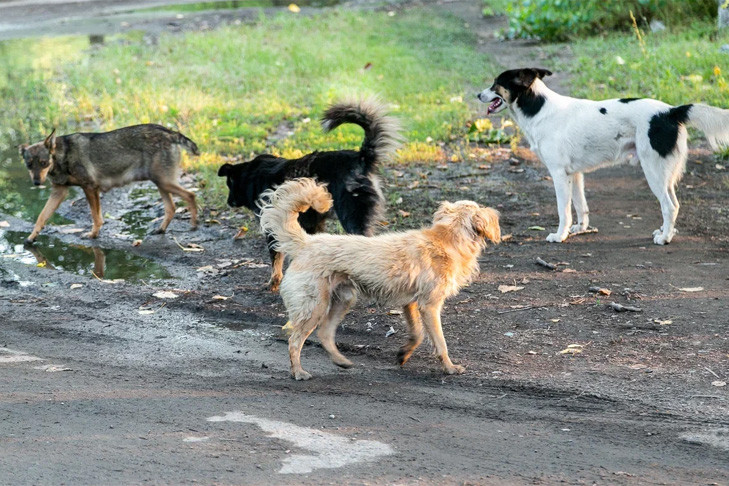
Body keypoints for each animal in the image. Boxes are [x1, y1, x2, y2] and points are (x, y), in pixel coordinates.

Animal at [19, 122, 198, 242]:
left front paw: (93, 234)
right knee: (171, 208)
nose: (36, 183)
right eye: (29, 165)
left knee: (191, 195)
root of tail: (169, 132)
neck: (62, 156)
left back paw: (194, 225)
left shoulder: (90, 188)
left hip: (163, 183)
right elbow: (41, 217)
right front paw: (31, 237)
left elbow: (96, 218)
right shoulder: (59, 192)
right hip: (161, 184)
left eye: (43, 163)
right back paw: (161, 230)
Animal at [218, 97, 398, 290]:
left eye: (229, 184)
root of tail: (361, 158)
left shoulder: (272, 227)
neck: (251, 175)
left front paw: (274, 282)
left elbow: (276, 258)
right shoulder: (313, 223)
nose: (228, 201)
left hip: (352, 217)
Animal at [258, 178, 504, 380]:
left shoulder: (410, 303)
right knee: (295, 340)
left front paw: (403, 354)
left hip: (342, 300)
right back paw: (298, 372)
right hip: (314, 306)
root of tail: (306, 242)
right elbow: (440, 341)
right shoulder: (430, 306)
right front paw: (450, 368)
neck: (448, 237)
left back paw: (341, 361)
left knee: (325, 333)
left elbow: (418, 334)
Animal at [478, 67, 728, 243]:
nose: (477, 94)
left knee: (670, 206)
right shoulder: (574, 174)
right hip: (665, 174)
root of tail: (670, 111)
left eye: (496, 84)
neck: (539, 108)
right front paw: (580, 229)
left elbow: (563, 210)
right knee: (674, 204)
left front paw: (560, 235)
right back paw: (666, 232)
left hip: (654, 171)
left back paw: (664, 238)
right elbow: (580, 205)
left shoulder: (559, 174)